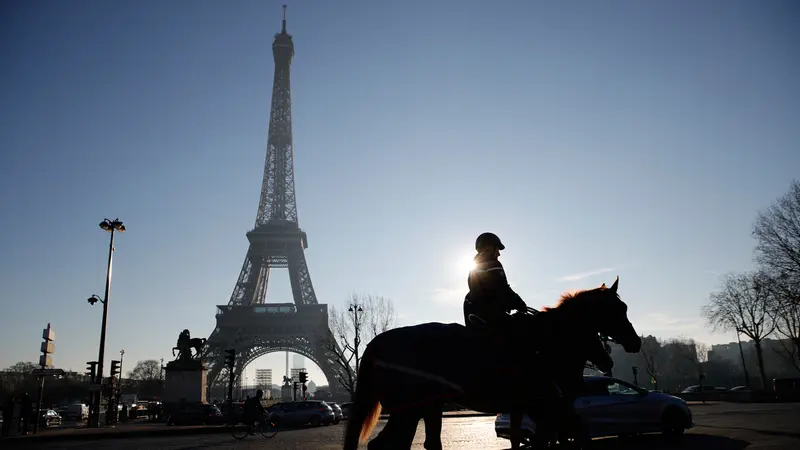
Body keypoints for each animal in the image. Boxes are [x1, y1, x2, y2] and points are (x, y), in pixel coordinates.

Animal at [340, 278, 640, 450]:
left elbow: (534, 439)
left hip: (425, 408)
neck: (547, 342)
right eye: (618, 309)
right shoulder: (547, 406)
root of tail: (377, 342)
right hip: (408, 410)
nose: (635, 343)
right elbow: (559, 437)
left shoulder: (535, 408)